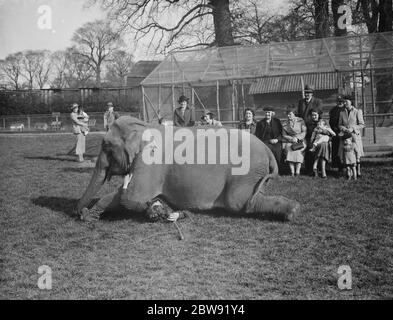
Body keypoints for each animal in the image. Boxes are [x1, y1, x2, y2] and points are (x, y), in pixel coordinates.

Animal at [76, 116, 298, 224]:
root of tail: (268, 150)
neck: (142, 126)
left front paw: (158, 210)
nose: (77, 213)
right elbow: (124, 195)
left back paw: (292, 212)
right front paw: (91, 217)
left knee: (240, 202)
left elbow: (131, 196)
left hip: (245, 173)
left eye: (106, 147)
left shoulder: (150, 161)